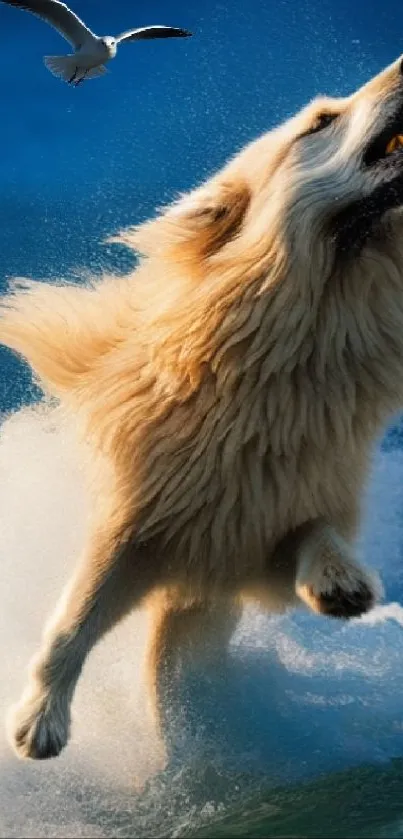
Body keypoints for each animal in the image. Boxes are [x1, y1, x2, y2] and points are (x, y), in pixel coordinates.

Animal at [2, 50, 403, 760]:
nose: (401, 66)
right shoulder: (144, 500)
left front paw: (340, 580)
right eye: (321, 121)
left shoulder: (282, 486)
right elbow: (79, 611)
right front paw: (37, 723)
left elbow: (305, 527)